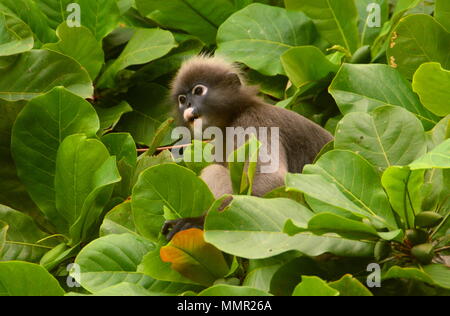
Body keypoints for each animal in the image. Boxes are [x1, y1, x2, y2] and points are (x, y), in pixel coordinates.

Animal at [163, 56, 334, 239]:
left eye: (198, 91)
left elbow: (274, 180)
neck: (235, 114)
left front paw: (198, 222)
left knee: (215, 170)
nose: (188, 103)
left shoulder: (254, 123)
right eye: (182, 99)